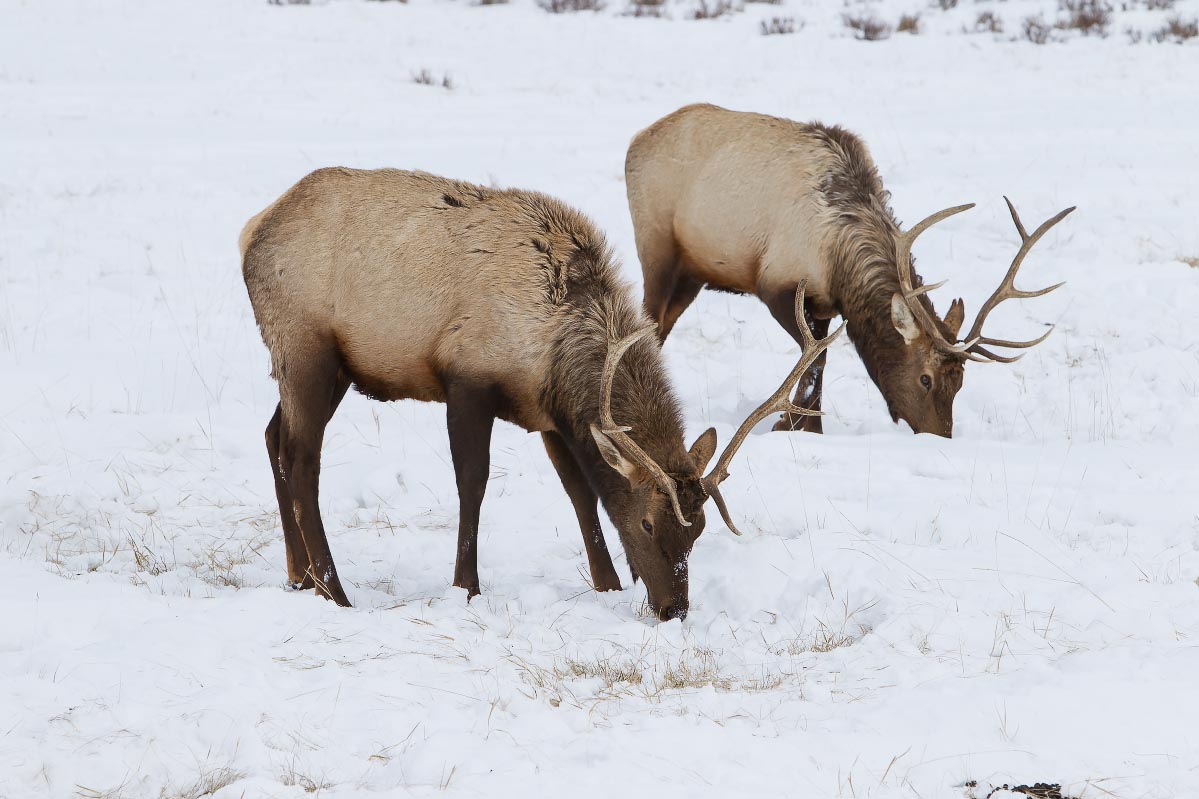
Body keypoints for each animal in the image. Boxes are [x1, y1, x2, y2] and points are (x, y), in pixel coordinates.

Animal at [240, 166, 844, 614]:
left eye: (696, 532)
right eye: (649, 522)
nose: (675, 607)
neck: (556, 344)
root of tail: (251, 231)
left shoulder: (551, 415)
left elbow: (580, 492)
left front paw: (608, 583)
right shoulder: (468, 381)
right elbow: (473, 483)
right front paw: (466, 586)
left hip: (325, 368)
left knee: (272, 438)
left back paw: (300, 577)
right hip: (306, 350)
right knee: (302, 459)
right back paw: (334, 590)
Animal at [623, 104, 1074, 436]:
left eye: (959, 381)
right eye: (926, 379)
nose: (939, 436)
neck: (839, 258)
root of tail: (636, 139)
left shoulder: (824, 305)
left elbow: (819, 362)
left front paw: (807, 428)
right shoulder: (778, 285)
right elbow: (814, 363)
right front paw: (789, 424)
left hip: (693, 273)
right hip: (657, 247)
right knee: (648, 323)